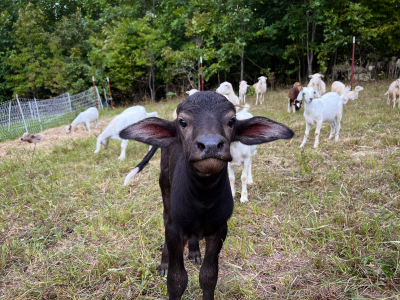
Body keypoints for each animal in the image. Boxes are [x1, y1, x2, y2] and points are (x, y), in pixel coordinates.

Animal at [119, 92, 294, 300]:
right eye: (182, 122)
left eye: (231, 120)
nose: (211, 146)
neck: (203, 197)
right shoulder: (175, 229)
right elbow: (176, 280)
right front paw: (169, 267)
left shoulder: (220, 230)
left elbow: (209, 276)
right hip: (165, 188)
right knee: (165, 217)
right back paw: (165, 262)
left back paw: (194, 251)